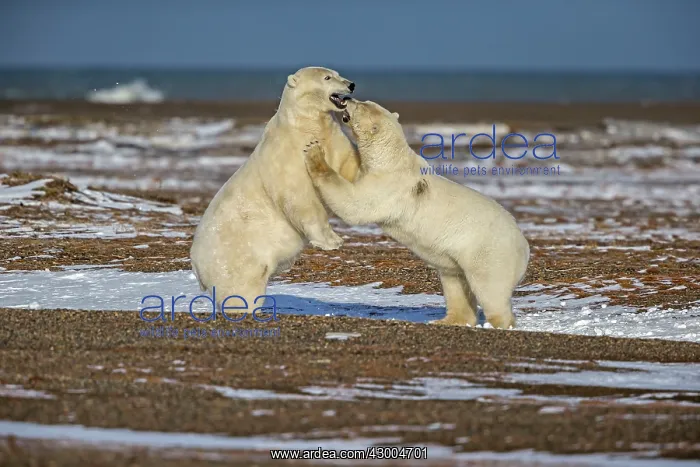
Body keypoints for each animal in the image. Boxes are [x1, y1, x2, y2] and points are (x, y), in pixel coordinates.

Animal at [190, 67, 360, 311]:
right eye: (327, 77)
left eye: (337, 73)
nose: (351, 85)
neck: (302, 125)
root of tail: (196, 265)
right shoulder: (288, 155)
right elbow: (300, 199)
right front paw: (333, 241)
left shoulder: (333, 137)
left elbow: (348, 164)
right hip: (237, 257)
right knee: (241, 289)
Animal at [302, 99, 530, 329]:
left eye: (362, 105)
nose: (347, 100)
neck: (392, 159)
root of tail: (524, 247)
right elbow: (352, 172)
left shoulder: (390, 185)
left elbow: (355, 205)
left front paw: (314, 153)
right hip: (455, 259)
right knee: (455, 282)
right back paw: (447, 320)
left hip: (486, 252)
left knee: (489, 289)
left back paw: (498, 323)